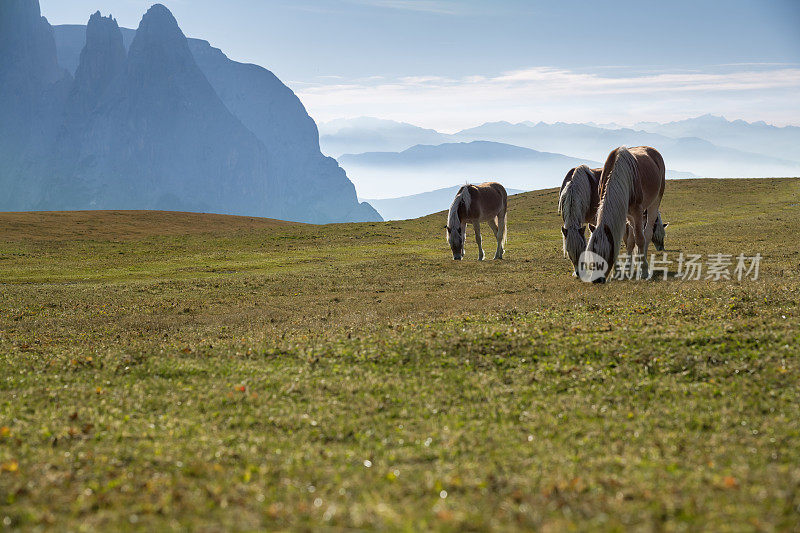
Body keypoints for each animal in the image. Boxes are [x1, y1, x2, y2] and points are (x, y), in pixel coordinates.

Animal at [584, 143, 664, 280]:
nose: (597, 280)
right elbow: (624, 239)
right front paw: (616, 272)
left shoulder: (637, 211)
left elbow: (640, 239)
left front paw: (644, 271)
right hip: (629, 216)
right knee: (631, 240)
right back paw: (628, 267)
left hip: (654, 202)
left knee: (646, 234)